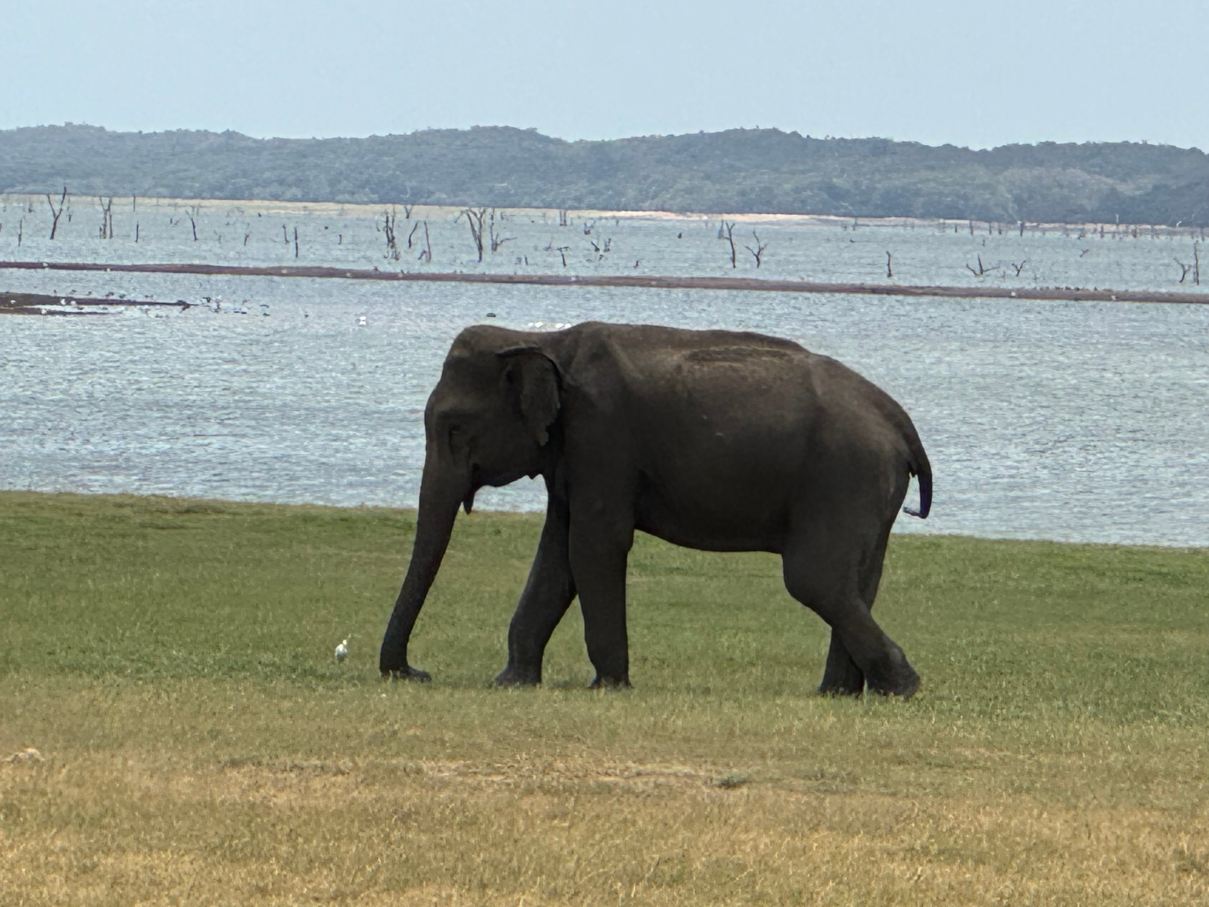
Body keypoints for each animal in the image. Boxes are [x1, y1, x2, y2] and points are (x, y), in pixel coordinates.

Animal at [379, 321, 932, 697]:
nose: (417, 672)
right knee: (857, 580)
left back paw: (901, 687)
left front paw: (608, 686)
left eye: (453, 428)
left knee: (815, 579)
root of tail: (899, 420)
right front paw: (511, 682)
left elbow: (593, 545)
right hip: (866, 489)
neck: (547, 341)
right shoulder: (573, 456)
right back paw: (841, 693)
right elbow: (557, 556)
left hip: (842, 476)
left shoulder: (602, 436)